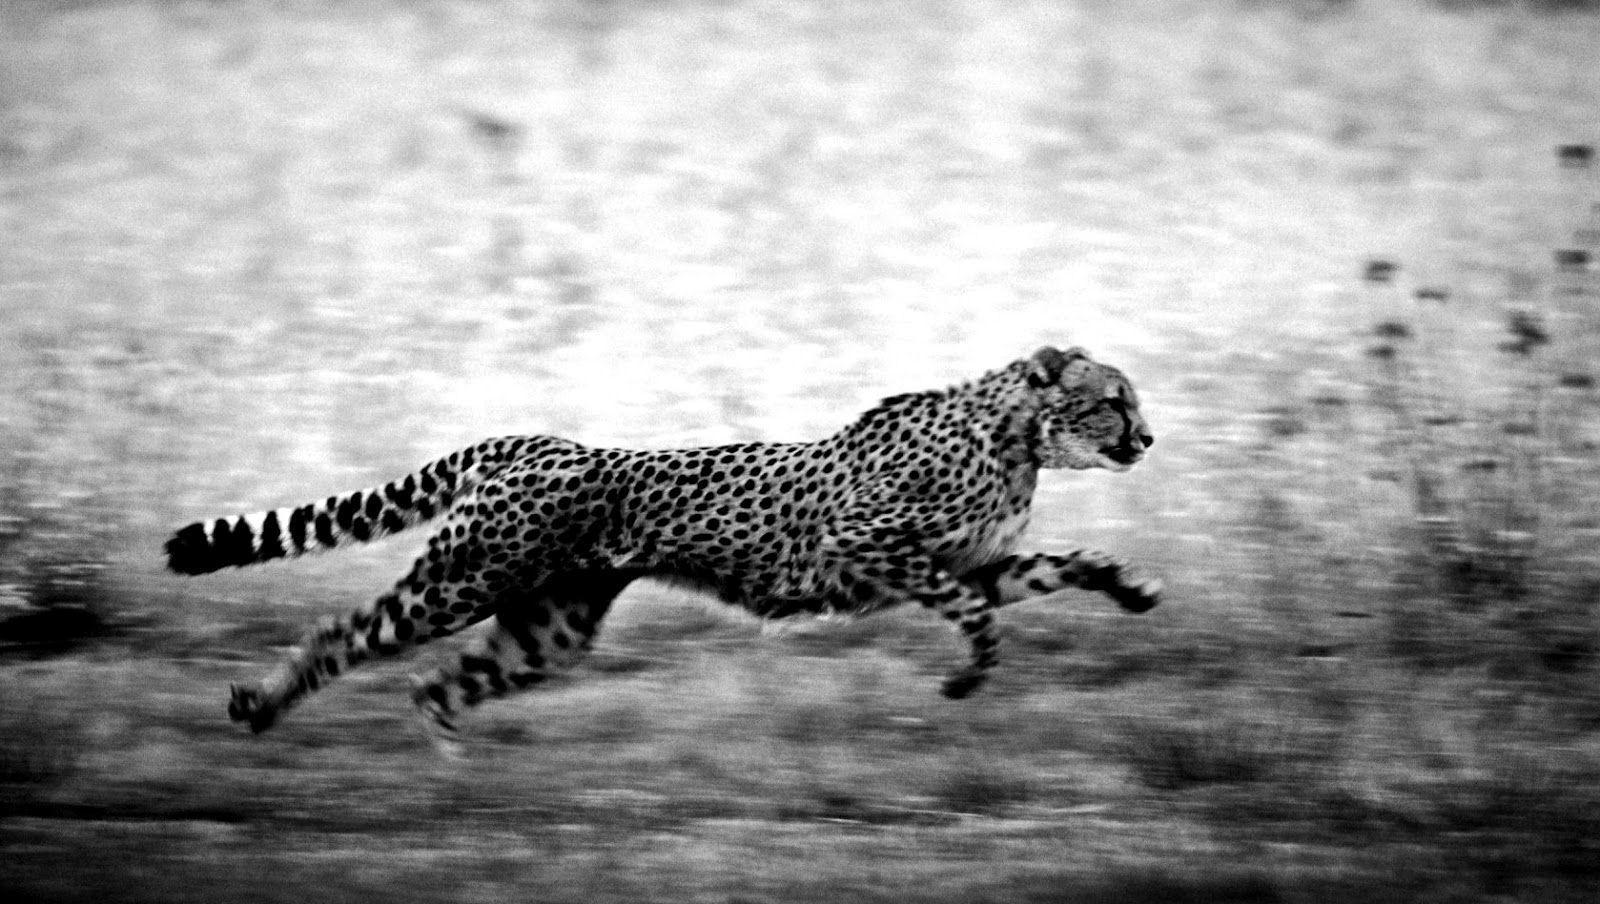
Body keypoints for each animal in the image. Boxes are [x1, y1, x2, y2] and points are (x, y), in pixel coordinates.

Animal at [165, 345, 1160, 738]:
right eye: (1113, 398)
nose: (1149, 438)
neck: (1017, 436)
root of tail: (530, 440)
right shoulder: (864, 546)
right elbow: (971, 614)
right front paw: (966, 676)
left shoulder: (978, 562)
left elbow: (1058, 566)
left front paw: (1129, 587)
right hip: (461, 581)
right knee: (348, 632)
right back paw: (262, 705)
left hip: (550, 625)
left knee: (436, 683)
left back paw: (449, 766)